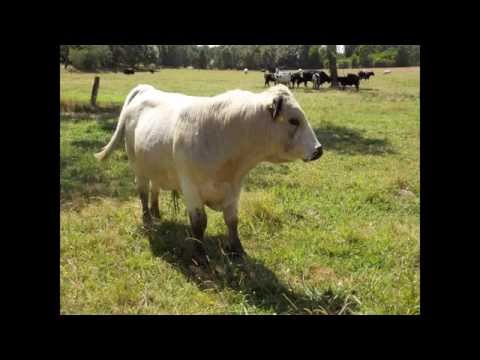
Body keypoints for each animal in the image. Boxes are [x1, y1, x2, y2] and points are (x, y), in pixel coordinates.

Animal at [94, 84, 322, 264]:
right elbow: (199, 222)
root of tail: (147, 89)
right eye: (294, 120)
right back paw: (148, 219)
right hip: (138, 166)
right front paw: (200, 254)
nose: (319, 150)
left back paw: (157, 213)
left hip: (156, 167)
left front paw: (237, 250)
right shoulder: (191, 188)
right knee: (142, 191)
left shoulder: (234, 189)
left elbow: (232, 220)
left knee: (155, 188)